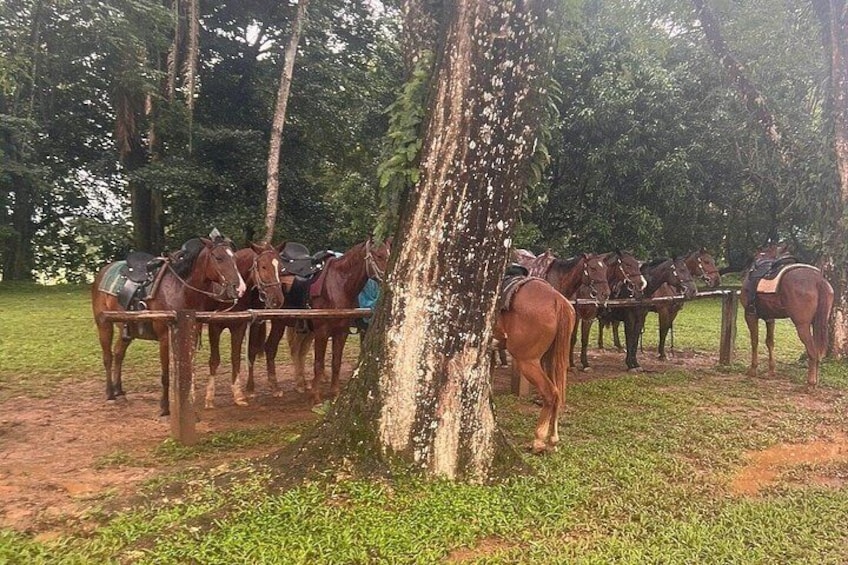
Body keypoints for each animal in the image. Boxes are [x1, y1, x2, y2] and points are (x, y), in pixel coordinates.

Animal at [91, 237, 246, 416]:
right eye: (219, 258)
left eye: (234, 258)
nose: (240, 288)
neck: (179, 290)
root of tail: (103, 271)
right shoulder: (165, 338)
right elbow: (165, 374)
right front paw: (165, 408)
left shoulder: (191, 335)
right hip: (104, 325)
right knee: (108, 357)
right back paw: (110, 394)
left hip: (128, 329)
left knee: (118, 354)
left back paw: (120, 392)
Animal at [204, 242, 286, 409]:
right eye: (263, 266)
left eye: (281, 267)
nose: (277, 299)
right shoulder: (214, 328)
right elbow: (214, 360)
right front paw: (209, 398)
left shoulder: (239, 327)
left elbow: (237, 357)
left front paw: (240, 394)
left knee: (258, 350)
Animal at [256, 237, 391, 404]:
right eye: (379, 256)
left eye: (389, 254)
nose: (388, 279)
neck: (338, 286)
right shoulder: (322, 332)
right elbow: (318, 363)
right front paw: (316, 395)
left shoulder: (342, 333)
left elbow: (336, 362)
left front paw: (335, 393)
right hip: (279, 323)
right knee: (271, 348)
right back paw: (276, 388)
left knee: (298, 350)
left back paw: (301, 384)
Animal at [495, 277, 576, 453]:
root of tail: (557, 299)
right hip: (550, 359)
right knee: (557, 392)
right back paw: (552, 440)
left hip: (527, 361)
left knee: (550, 393)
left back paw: (538, 440)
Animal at [740, 242, 833, 386]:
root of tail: (818, 280)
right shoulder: (770, 318)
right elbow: (770, 342)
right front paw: (771, 371)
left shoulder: (750, 315)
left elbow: (754, 341)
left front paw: (753, 369)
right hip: (818, 324)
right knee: (817, 351)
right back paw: (815, 380)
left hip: (802, 325)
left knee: (812, 351)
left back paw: (810, 383)